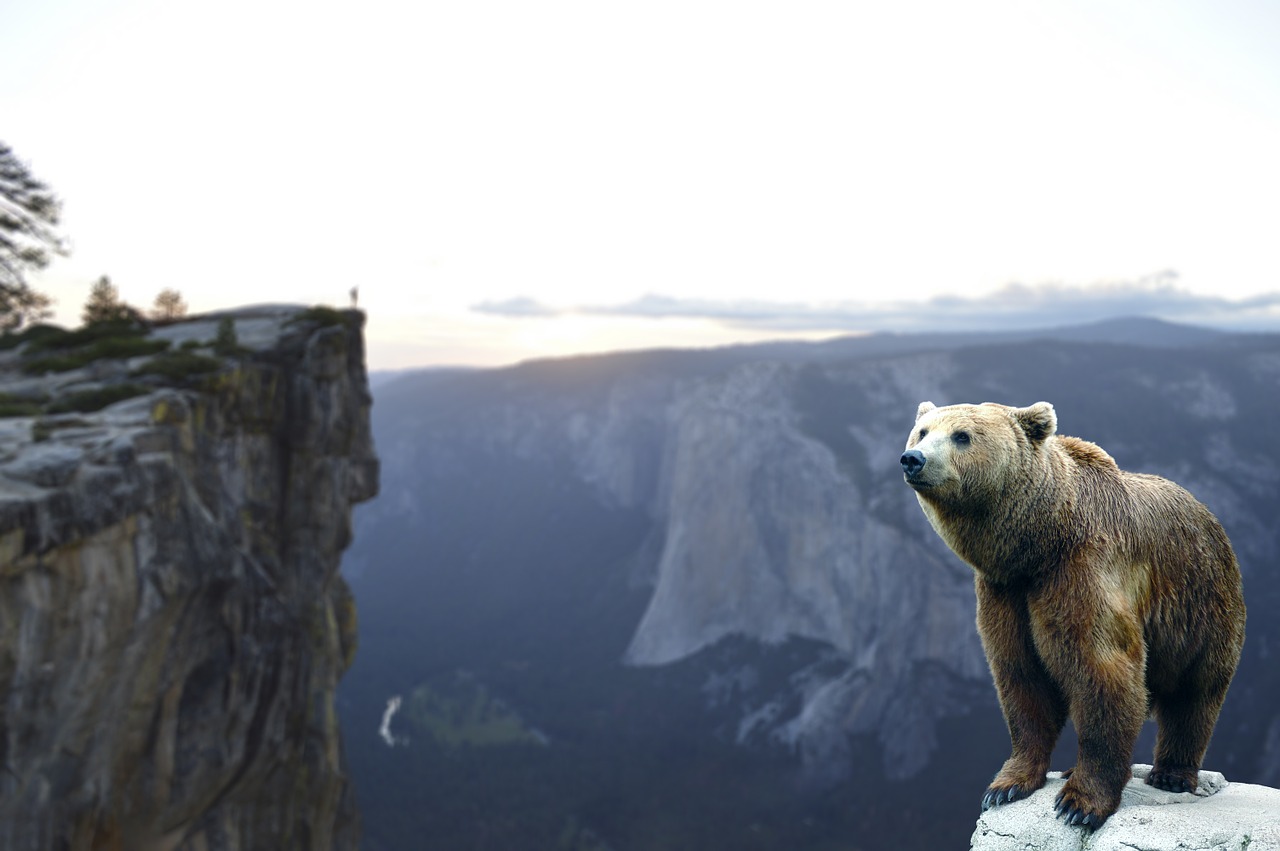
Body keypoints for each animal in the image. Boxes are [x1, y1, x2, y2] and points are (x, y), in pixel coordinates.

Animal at [901, 399, 1239, 829]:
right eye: (923, 431)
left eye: (962, 435)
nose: (914, 458)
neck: (1037, 543)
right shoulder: (1005, 592)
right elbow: (1020, 677)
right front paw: (1006, 785)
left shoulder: (1082, 571)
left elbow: (1103, 670)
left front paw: (1079, 804)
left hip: (1200, 605)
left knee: (1194, 693)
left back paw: (1172, 774)